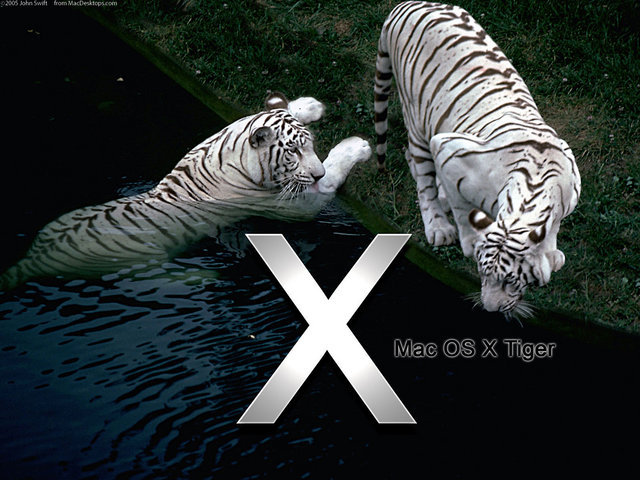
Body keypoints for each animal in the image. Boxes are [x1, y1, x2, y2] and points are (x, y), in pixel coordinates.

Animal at [0, 92, 371, 290]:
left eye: (308, 145)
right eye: (293, 152)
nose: (315, 170)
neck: (234, 150)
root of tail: (33, 259)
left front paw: (310, 106)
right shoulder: (290, 204)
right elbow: (330, 178)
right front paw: (358, 147)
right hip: (138, 263)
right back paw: (206, 275)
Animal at [374, 2, 581, 317]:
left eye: (510, 281)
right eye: (482, 274)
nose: (490, 309)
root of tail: (404, 6)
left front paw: (552, 255)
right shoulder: (448, 149)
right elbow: (462, 210)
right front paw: (468, 240)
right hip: (418, 116)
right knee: (420, 172)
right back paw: (438, 224)